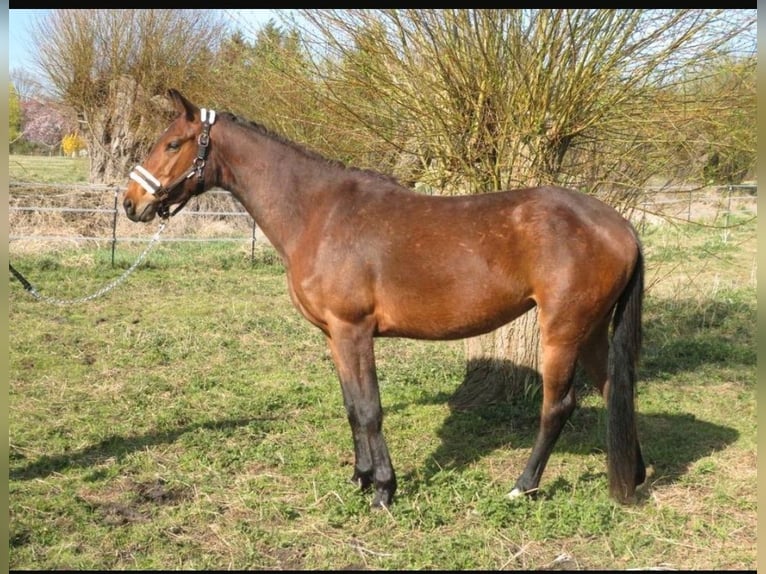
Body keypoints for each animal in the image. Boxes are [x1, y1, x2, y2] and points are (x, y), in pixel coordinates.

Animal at [123, 89, 646, 508]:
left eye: (173, 144)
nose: (131, 203)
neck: (319, 212)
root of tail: (619, 225)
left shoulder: (353, 330)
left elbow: (370, 409)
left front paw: (383, 489)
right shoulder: (334, 336)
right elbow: (352, 407)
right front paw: (360, 479)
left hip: (561, 331)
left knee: (558, 406)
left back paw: (523, 485)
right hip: (591, 331)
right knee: (615, 391)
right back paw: (636, 476)